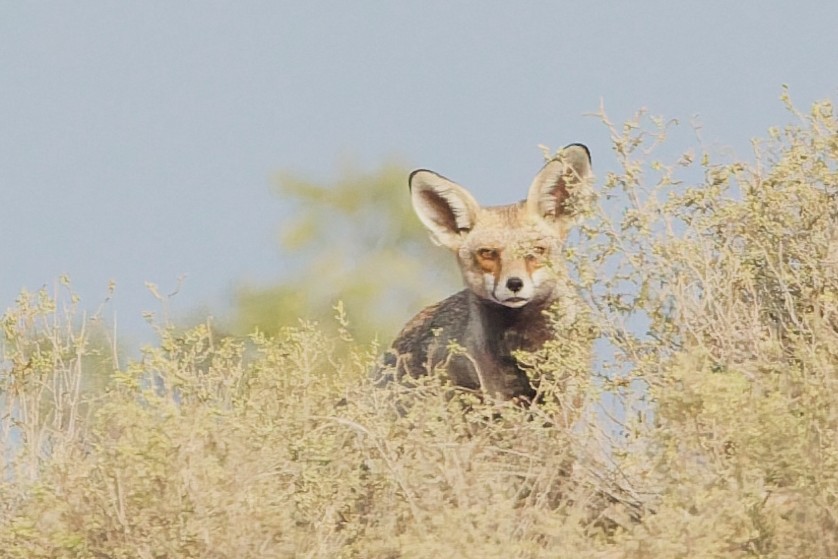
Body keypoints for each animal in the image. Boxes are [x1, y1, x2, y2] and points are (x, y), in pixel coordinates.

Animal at [377, 143, 593, 403]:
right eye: (487, 253)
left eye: (536, 251)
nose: (514, 284)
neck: (522, 342)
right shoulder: (498, 393)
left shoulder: (566, 395)